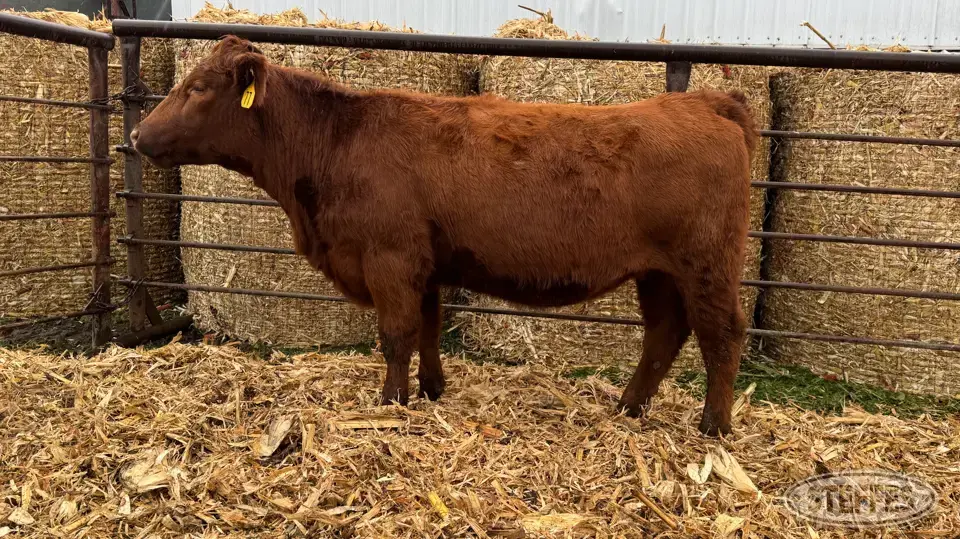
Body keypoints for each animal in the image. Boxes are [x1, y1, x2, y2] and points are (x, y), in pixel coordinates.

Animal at [132, 35, 758, 435]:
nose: (137, 134)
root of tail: (707, 101)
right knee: (664, 334)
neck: (334, 144)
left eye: (198, 87)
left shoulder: (389, 257)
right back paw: (628, 408)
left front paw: (389, 403)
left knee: (722, 334)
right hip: (658, 273)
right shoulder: (423, 265)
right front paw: (430, 391)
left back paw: (715, 426)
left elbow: (396, 335)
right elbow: (427, 329)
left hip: (706, 263)